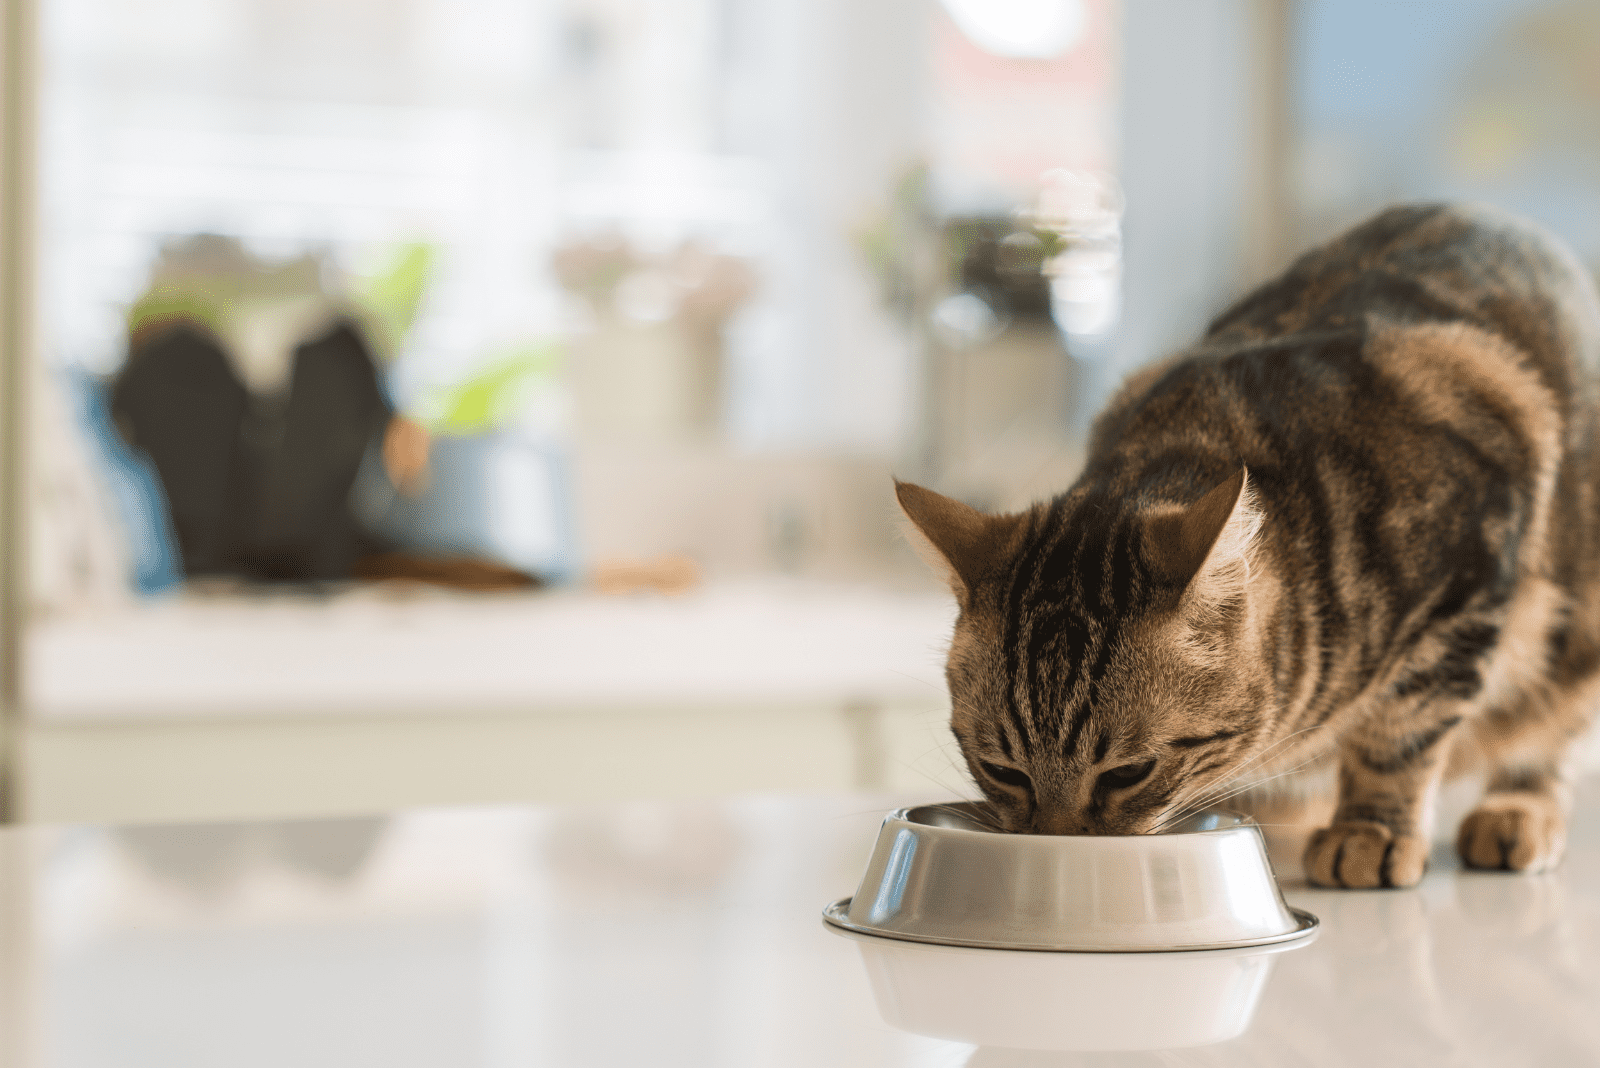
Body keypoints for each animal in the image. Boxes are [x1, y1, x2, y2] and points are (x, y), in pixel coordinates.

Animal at [896, 204, 1600, 888]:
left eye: (1128, 773)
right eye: (1003, 770)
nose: (1055, 846)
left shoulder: (1467, 573)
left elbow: (1401, 729)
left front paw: (1370, 828)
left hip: (1574, 638)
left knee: (1544, 738)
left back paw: (1518, 810)